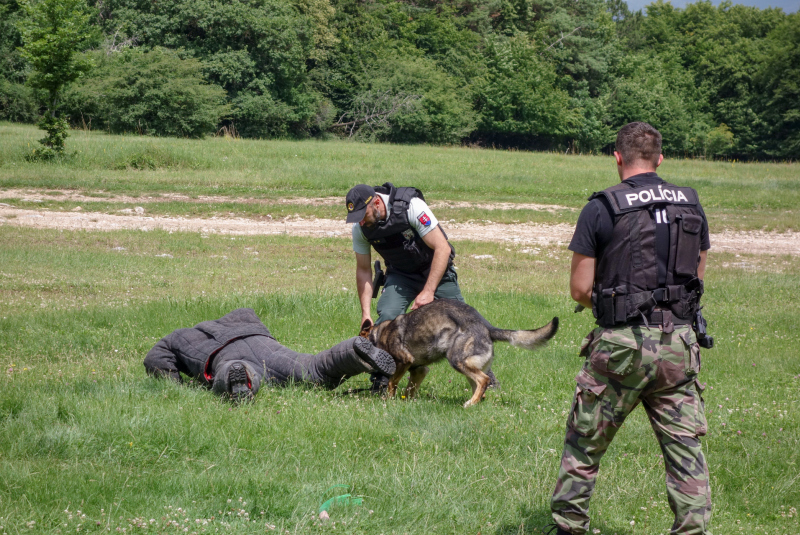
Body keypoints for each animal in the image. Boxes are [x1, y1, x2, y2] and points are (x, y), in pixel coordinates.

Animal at [360, 300, 560, 408]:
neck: (379, 335)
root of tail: (486, 327)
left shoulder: (404, 360)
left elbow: (392, 382)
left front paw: (389, 400)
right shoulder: (419, 370)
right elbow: (409, 390)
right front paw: (405, 402)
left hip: (457, 360)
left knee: (484, 380)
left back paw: (470, 403)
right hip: (468, 366)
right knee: (481, 388)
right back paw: (475, 402)